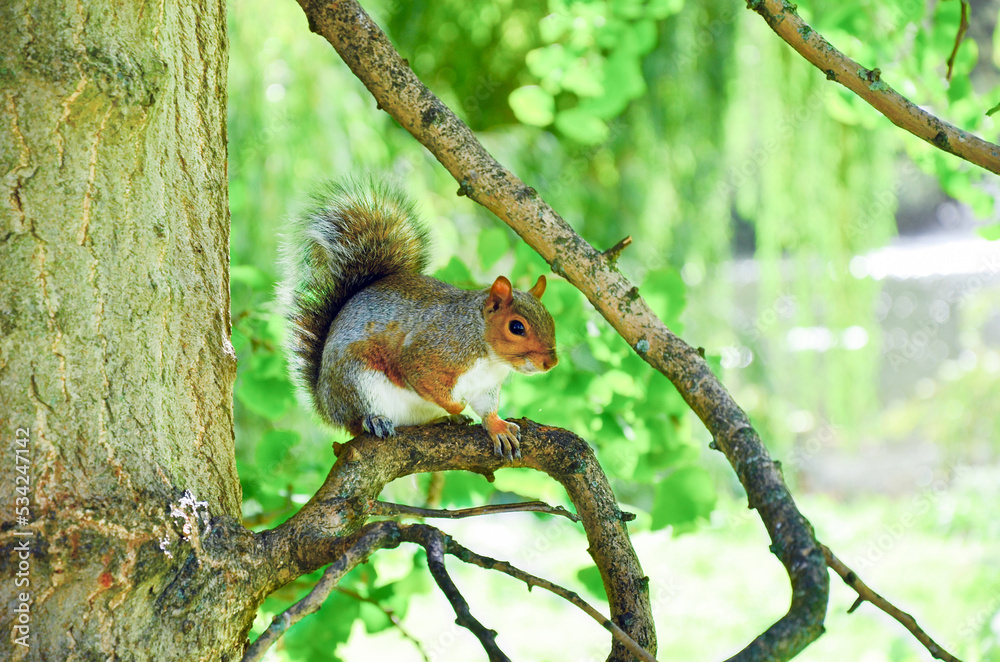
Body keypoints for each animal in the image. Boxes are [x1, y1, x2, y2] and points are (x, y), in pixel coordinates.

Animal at [282, 179, 560, 464]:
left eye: (551, 320)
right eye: (516, 327)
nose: (551, 362)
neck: (488, 354)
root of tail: (325, 403)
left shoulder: (486, 386)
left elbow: (487, 408)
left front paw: (497, 426)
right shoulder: (431, 352)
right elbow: (424, 378)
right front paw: (458, 405)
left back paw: (444, 420)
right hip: (356, 380)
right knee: (357, 419)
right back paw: (376, 419)